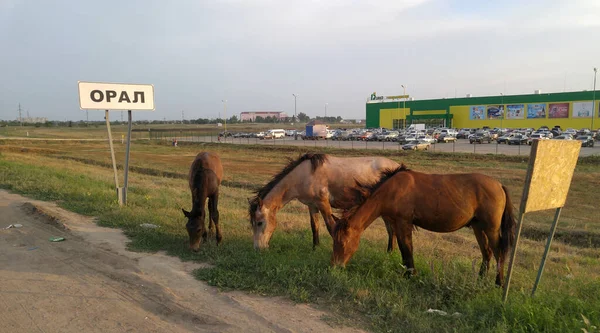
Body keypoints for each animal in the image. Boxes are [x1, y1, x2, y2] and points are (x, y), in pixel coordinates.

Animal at [246, 152, 400, 249]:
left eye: (259, 223)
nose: (258, 248)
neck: (305, 175)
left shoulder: (323, 204)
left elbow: (331, 227)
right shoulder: (312, 205)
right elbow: (315, 227)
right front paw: (315, 248)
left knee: (391, 230)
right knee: (391, 230)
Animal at [332, 164, 516, 286]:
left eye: (342, 242)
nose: (335, 267)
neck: (393, 189)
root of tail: (499, 185)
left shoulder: (403, 222)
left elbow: (407, 249)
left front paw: (410, 275)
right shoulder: (396, 223)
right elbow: (403, 249)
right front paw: (408, 273)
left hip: (491, 229)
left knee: (499, 252)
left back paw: (499, 283)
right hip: (478, 227)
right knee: (487, 253)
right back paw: (479, 279)